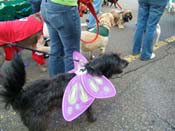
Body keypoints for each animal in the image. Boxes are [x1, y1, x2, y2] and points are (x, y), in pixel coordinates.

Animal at [0, 52, 129, 130]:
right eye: (117, 60)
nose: (127, 62)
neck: (91, 70)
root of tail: (22, 96)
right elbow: (90, 111)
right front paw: (92, 119)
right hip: (39, 120)